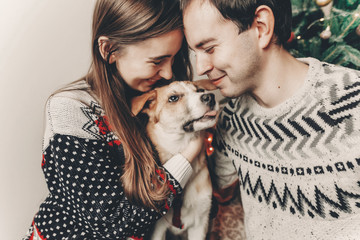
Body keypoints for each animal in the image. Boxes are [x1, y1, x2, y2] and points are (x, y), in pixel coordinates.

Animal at [130, 79, 218, 239]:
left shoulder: (200, 223)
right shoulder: (158, 228)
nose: (210, 97)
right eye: (173, 98)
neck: (179, 148)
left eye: (199, 90)